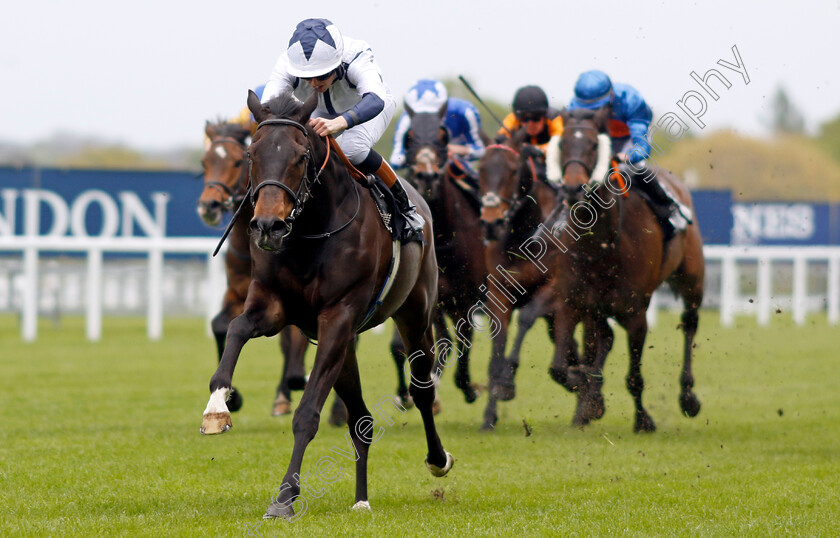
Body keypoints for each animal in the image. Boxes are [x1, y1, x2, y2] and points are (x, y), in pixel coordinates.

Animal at [197, 121, 308, 414]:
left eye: (238, 161)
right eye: (205, 162)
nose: (209, 206)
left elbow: (296, 349)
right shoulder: (238, 293)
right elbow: (220, 325)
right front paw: (233, 398)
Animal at [400, 110, 486, 402]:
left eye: (442, 136)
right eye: (409, 136)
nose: (427, 176)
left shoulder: (469, 297)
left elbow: (464, 338)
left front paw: (468, 387)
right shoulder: (434, 299)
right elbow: (444, 340)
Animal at [548, 107, 704, 430]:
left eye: (593, 145)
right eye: (562, 144)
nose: (572, 187)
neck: (600, 246)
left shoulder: (635, 313)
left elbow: (634, 377)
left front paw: (643, 420)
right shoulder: (573, 301)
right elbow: (559, 367)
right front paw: (585, 393)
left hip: (692, 278)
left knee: (690, 323)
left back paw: (688, 396)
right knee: (604, 338)